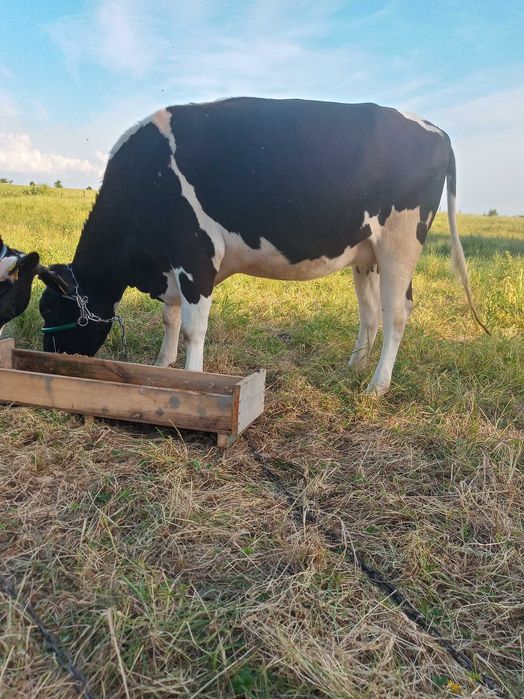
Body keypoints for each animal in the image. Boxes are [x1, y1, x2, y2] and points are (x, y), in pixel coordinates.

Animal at [39, 98, 486, 394]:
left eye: (51, 309)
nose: (50, 356)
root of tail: (435, 129)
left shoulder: (196, 255)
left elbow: (193, 328)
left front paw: (191, 376)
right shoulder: (173, 264)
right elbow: (170, 319)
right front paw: (162, 364)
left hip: (401, 243)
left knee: (397, 313)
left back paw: (377, 385)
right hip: (367, 253)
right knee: (371, 313)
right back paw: (354, 367)